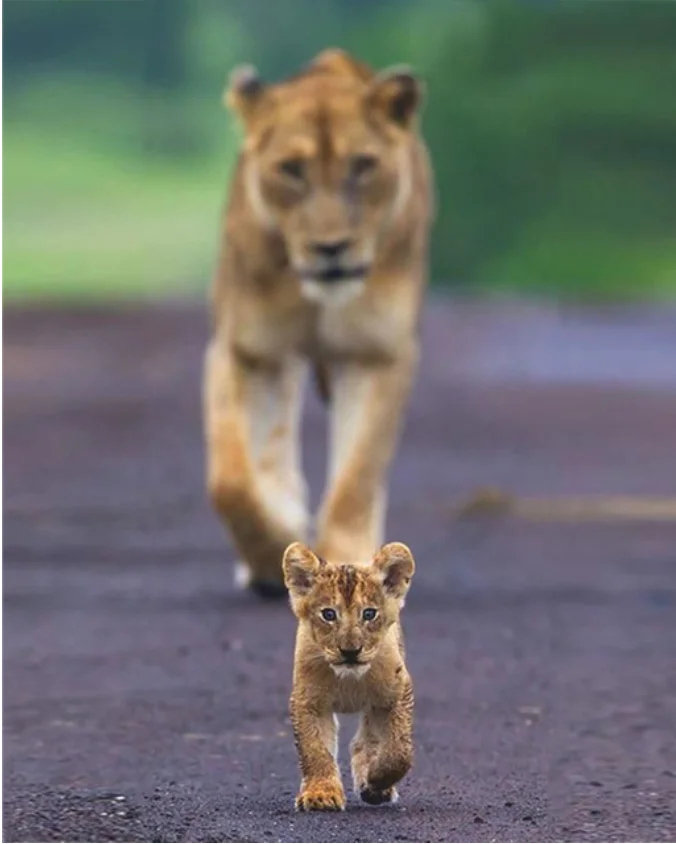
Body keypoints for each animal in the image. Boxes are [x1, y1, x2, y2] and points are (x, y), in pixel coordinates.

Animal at [203, 48, 434, 595]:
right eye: (292, 169)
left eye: (363, 165)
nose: (332, 248)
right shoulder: (247, 351)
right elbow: (231, 482)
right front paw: (270, 556)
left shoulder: (377, 353)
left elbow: (358, 475)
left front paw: (352, 562)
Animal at [282, 540, 416, 811]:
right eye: (328, 614)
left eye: (369, 614)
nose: (350, 651)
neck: (349, 679)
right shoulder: (308, 701)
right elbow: (315, 749)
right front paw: (320, 794)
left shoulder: (396, 694)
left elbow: (399, 751)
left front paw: (376, 781)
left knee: (366, 742)